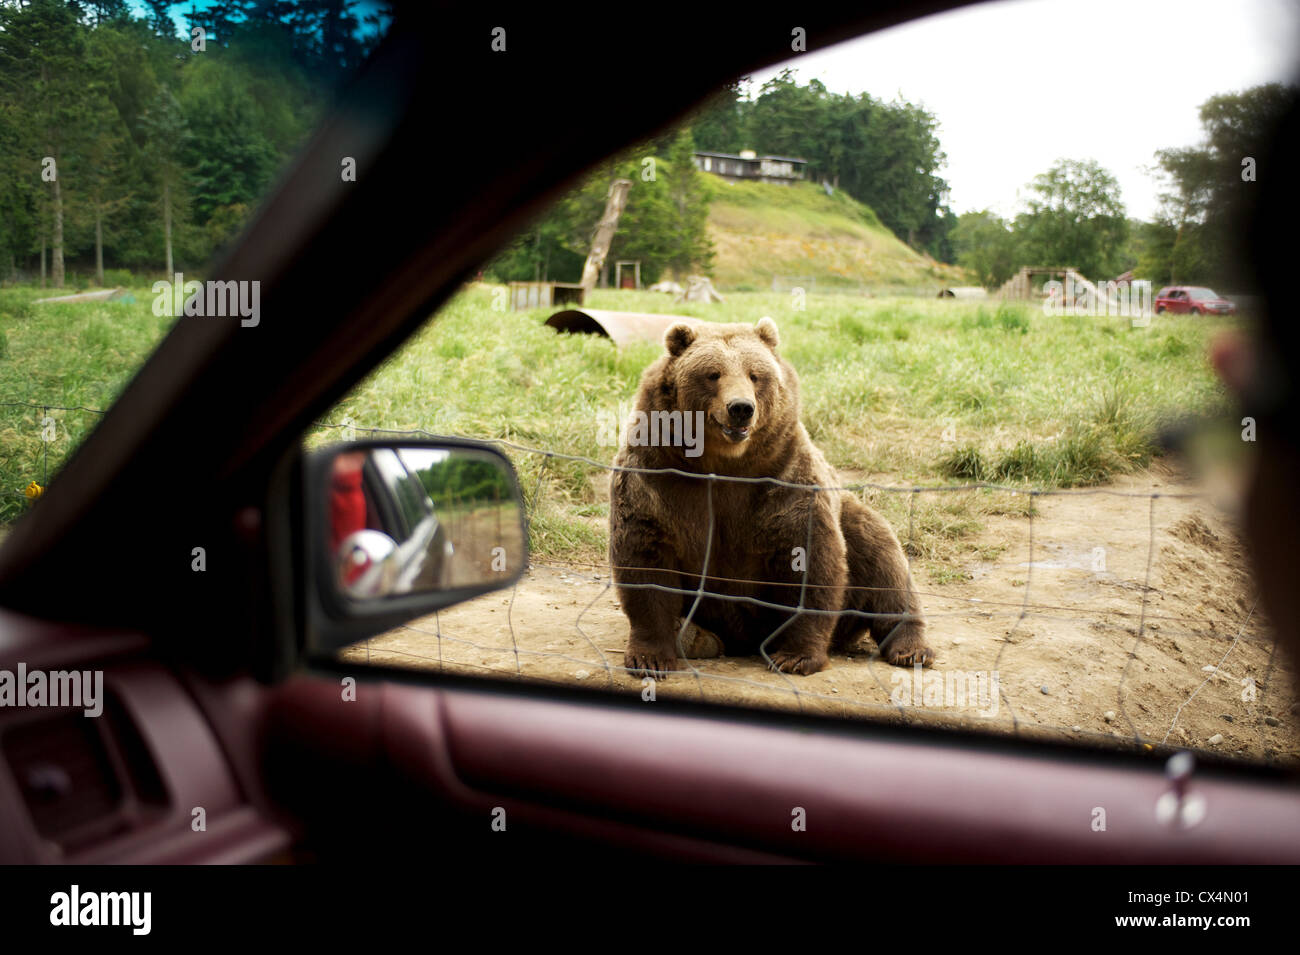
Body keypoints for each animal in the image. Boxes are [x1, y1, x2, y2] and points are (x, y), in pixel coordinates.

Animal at [611, 319, 935, 680]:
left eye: (755, 374)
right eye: (713, 373)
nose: (740, 408)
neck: (724, 464)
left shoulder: (783, 481)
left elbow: (808, 559)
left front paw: (795, 656)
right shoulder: (658, 476)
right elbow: (647, 557)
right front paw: (651, 658)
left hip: (851, 516)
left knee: (883, 561)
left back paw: (910, 649)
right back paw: (696, 637)